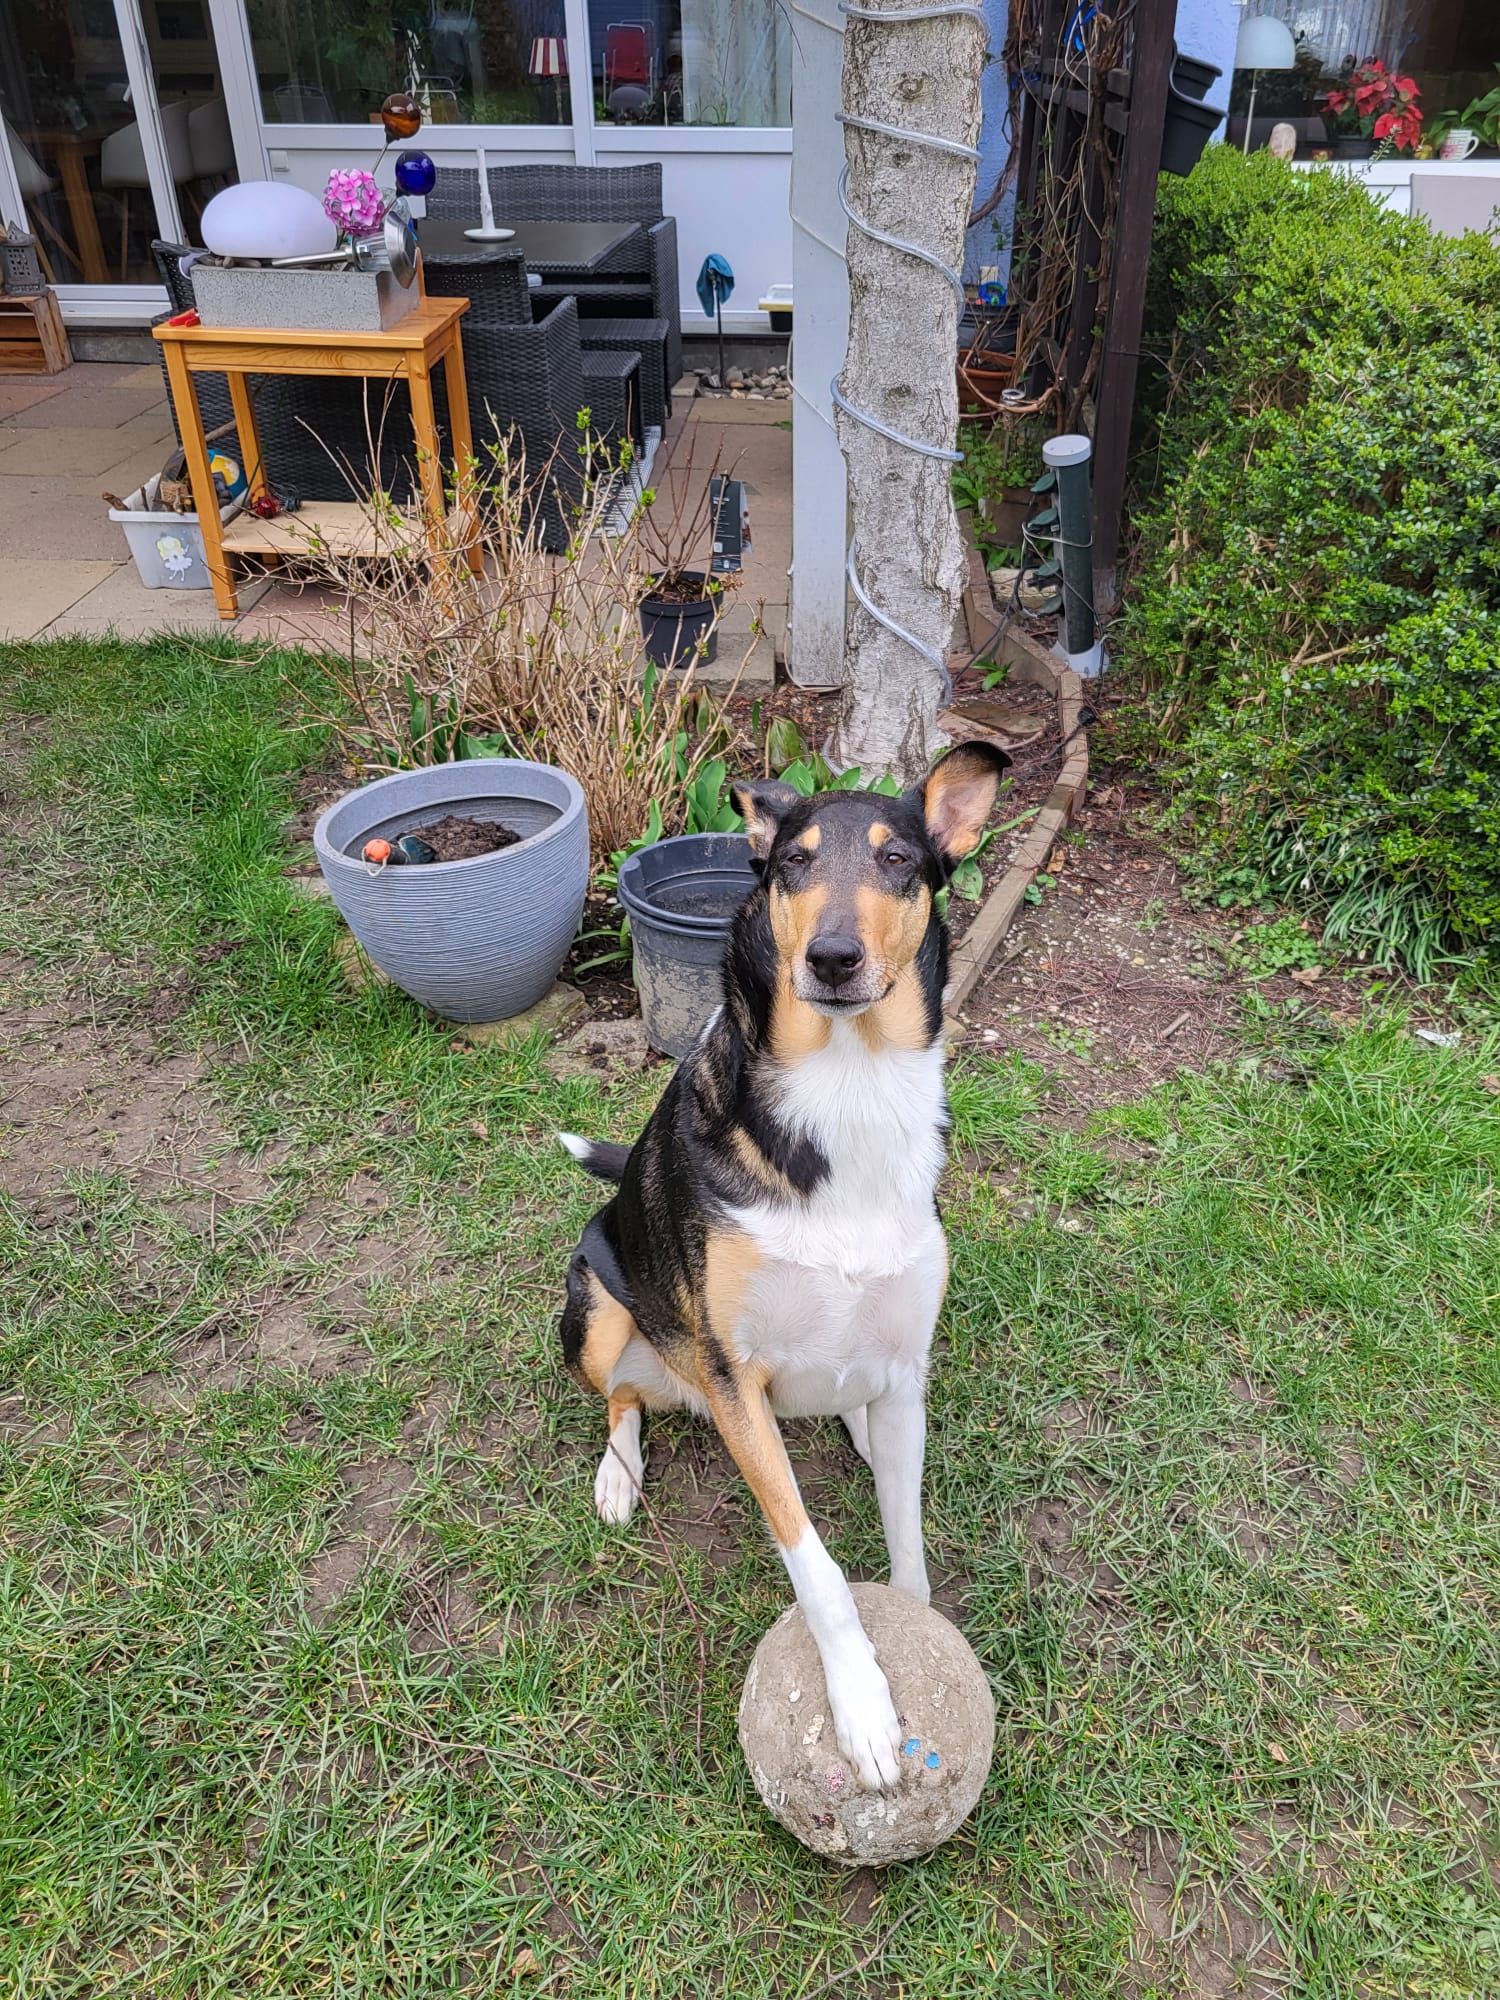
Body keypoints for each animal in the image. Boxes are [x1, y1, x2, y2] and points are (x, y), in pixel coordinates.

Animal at [558, 741, 1009, 1790]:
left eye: (898, 860)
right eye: (793, 864)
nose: (833, 958)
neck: (850, 1084)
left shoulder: (907, 1362)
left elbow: (906, 1535)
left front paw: (917, 1628)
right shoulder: (734, 1375)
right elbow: (818, 1563)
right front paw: (865, 1710)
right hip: (598, 1304)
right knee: (623, 1396)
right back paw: (617, 1475)